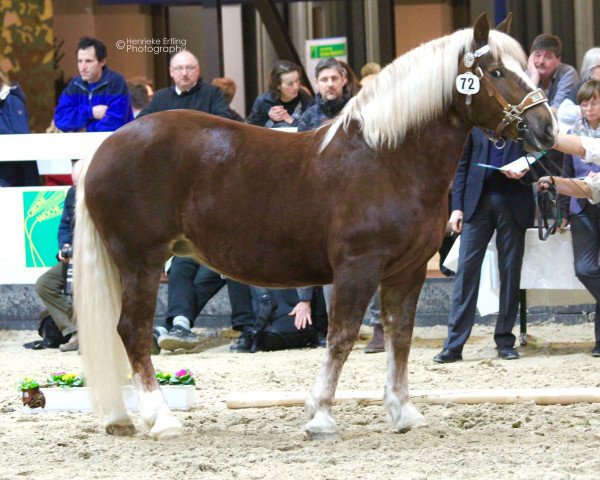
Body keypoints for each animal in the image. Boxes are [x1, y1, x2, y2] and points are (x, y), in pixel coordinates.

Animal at [75, 14, 556, 438]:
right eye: (496, 71)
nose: (547, 129)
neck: (388, 158)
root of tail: (104, 149)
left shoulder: (408, 271)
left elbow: (399, 336)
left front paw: (403, 413)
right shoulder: (358, 267)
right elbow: (340, 336)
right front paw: (321, 415)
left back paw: (121, 419)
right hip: (141, 262)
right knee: (133, 331)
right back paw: (162, 420)